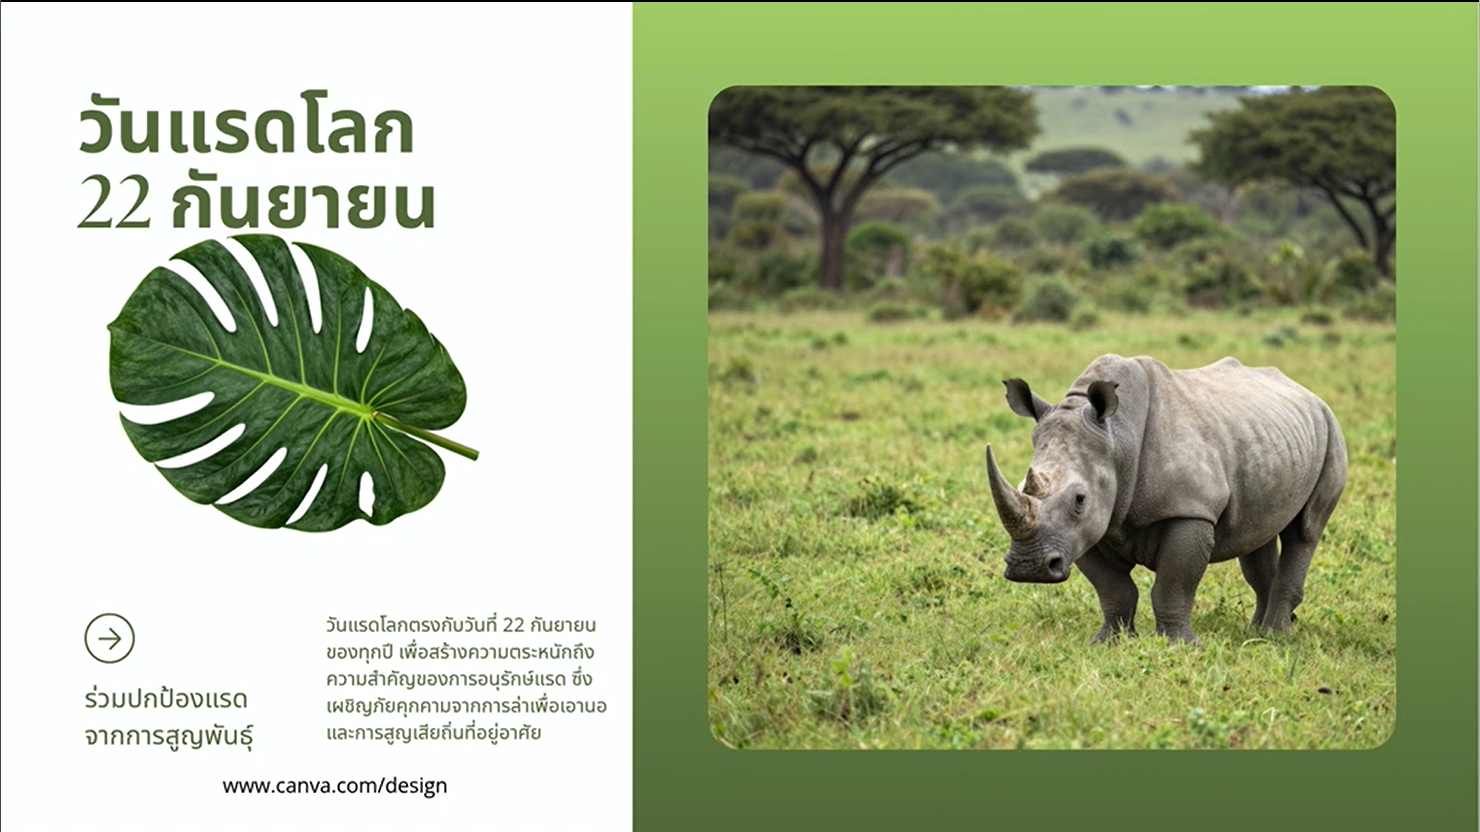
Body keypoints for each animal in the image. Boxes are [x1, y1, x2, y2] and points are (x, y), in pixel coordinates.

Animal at [985, 354, 1347, 644]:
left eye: (1079, 499)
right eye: (1022, 485)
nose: (1029, 568)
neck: (1118, 440)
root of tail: (1308, 393)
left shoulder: (1190, 510)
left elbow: (1173, 585)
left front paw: (1178, 645)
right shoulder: (1084, 531)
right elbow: (1113, 588)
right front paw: (1109, 642)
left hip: (1331, 429)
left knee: (1305, 530)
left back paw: (1276, 635)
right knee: (1257, 535)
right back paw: (1259, 631)